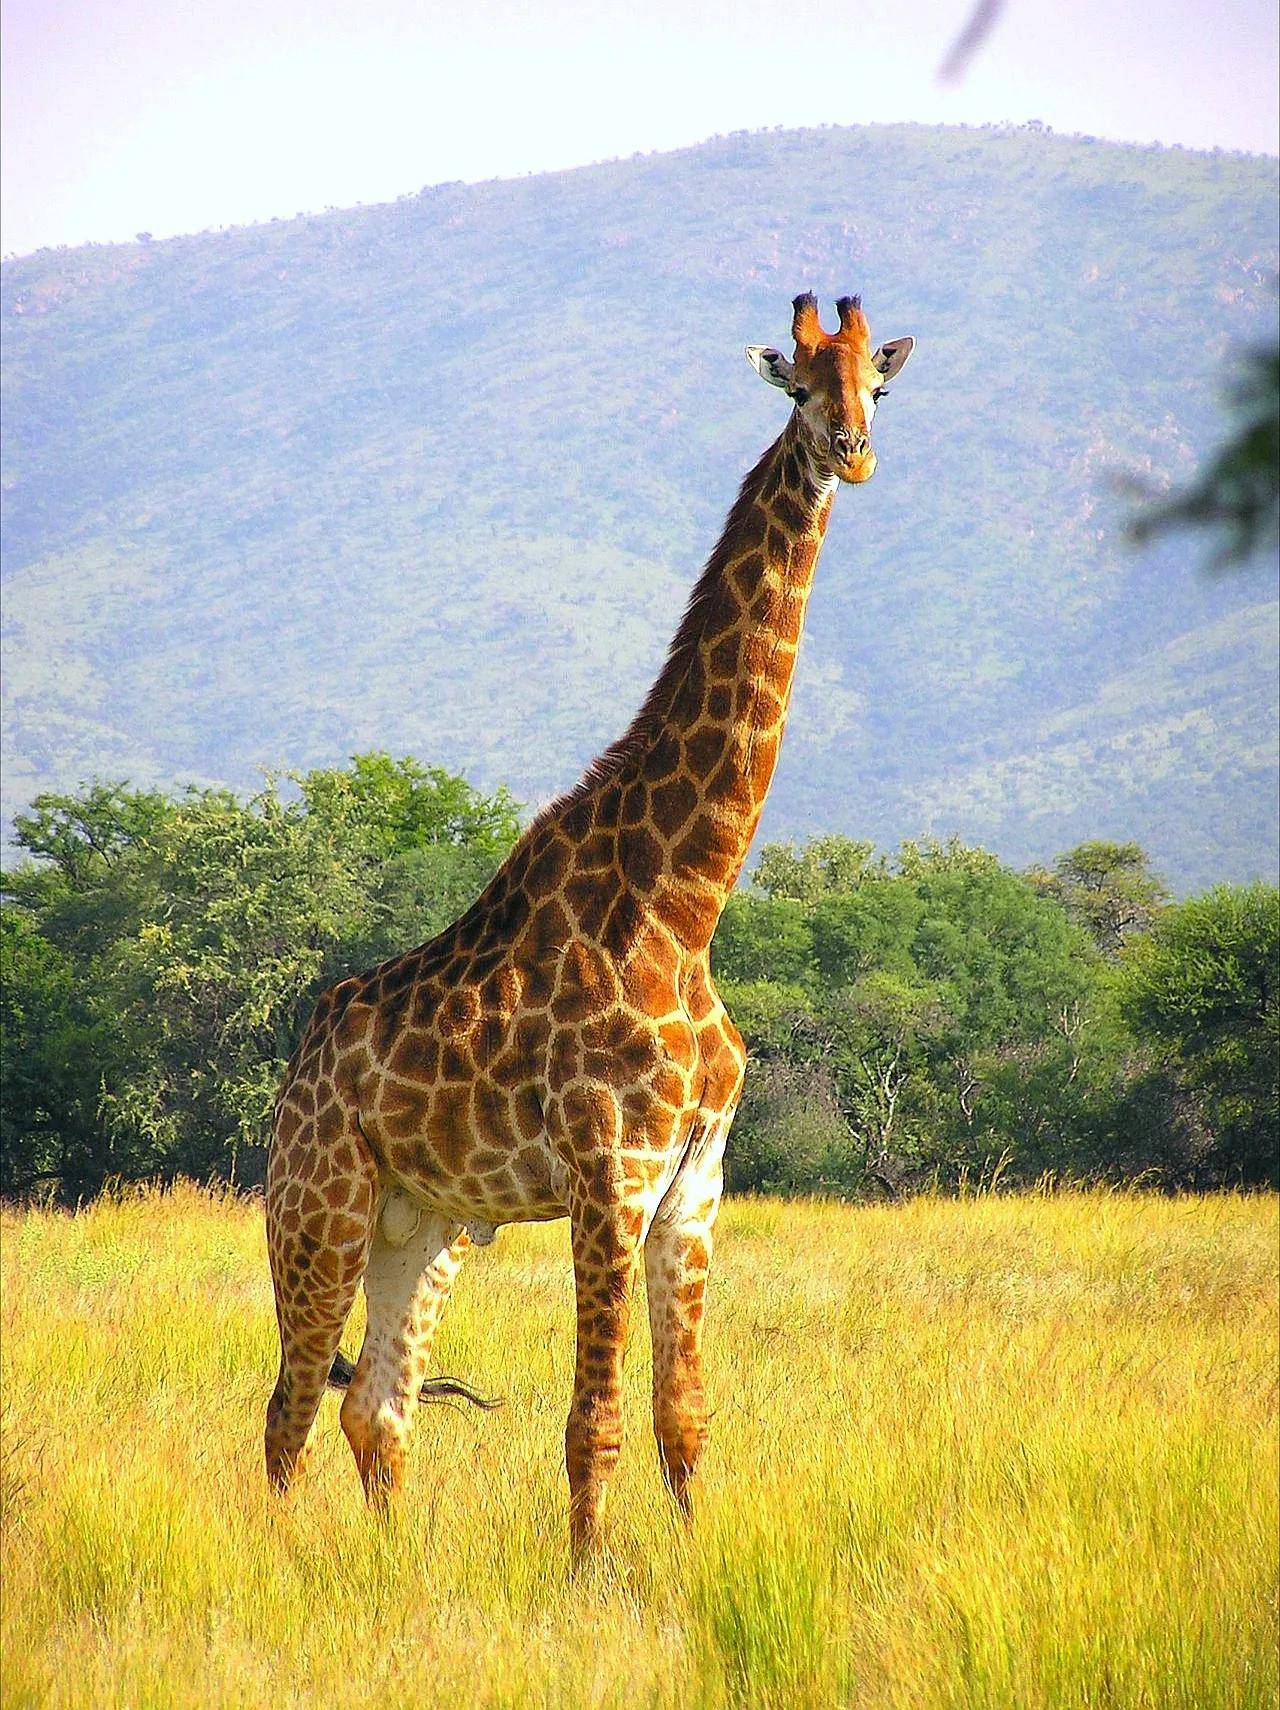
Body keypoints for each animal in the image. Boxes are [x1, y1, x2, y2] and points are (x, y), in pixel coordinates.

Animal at [264, 290, 915, 1552]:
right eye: (797, 381)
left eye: (877, 381)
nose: (853, 453)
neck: (684, 902)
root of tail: (299, 1065)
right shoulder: (608, 1170)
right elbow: (593, 1420)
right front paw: (588, 1578)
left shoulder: (693, 1184)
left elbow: (683, 1415)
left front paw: (696, 1565)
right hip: (316, 1206)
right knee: (288, 1408)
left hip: (426, 1225)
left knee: (377, 1406)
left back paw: (391, 1565)